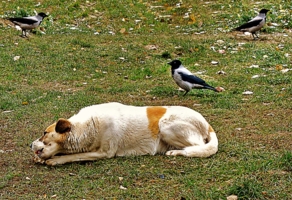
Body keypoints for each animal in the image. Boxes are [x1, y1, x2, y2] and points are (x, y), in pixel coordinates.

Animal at [30, 102, 218, 165]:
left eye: (44, 132)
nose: (30, 144)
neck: (88, 125)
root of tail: (208, 125)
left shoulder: (104, 153)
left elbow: (74, 156)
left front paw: (56, 160)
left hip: (166, 125)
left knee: (197, 148)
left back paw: (175, 152)